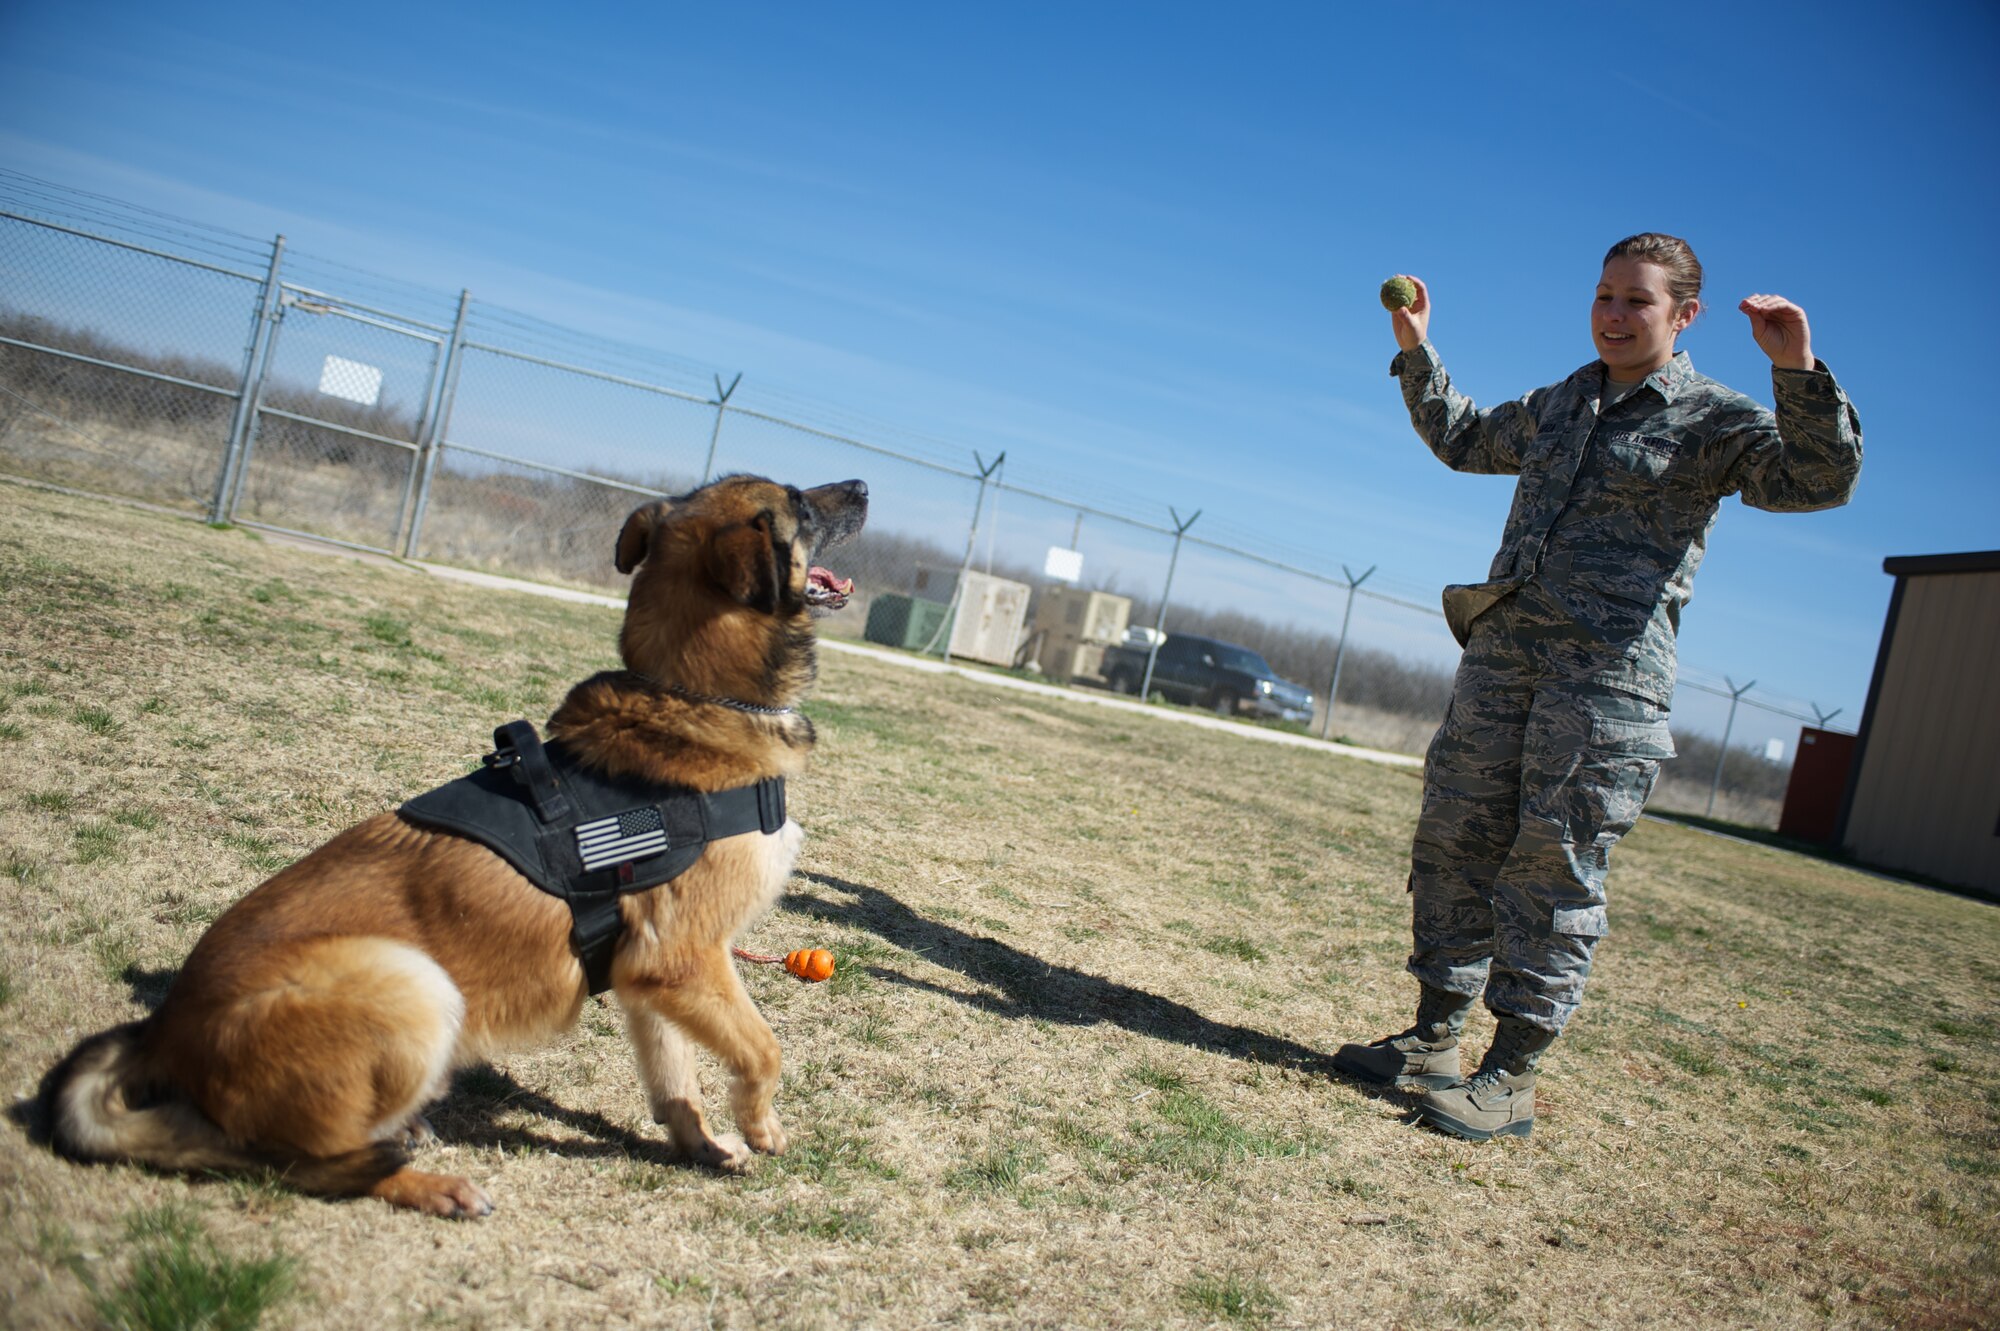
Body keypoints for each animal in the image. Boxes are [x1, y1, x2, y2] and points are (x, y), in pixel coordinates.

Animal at [47, 471, 868, 1207]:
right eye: (799, 501)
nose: (863, 486)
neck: (693, 694)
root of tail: (163, 1030)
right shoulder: (687, 956)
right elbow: (763, 1048)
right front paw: (760, 1125)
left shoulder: (649, 974)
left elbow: (676, 1080)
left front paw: (703, 1145)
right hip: (414, 984)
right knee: (291, 1163)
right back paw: (426, 1181)